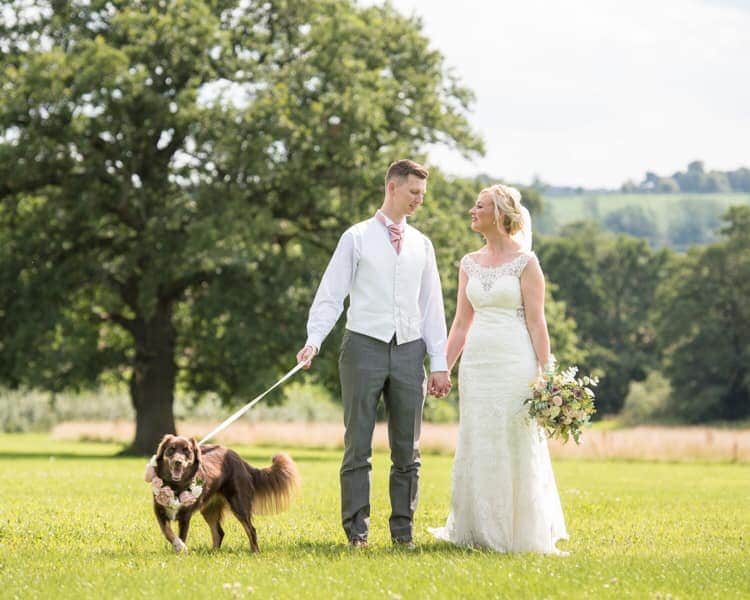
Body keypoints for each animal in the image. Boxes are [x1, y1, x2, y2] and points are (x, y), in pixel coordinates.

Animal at [150, 434, 300, 556]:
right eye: (171, 449)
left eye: (187, 450)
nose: (178, 462)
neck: (175, 486)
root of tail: (238, 458)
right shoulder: (159, 512)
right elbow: (168, 533)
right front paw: (179, 547)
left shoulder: (185, 516)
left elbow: (181, 535)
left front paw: (180, 550)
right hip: (209, 509)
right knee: (219, 532)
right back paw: (213, 553)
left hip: (239, 505)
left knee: (251, 530)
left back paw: (255, 552)